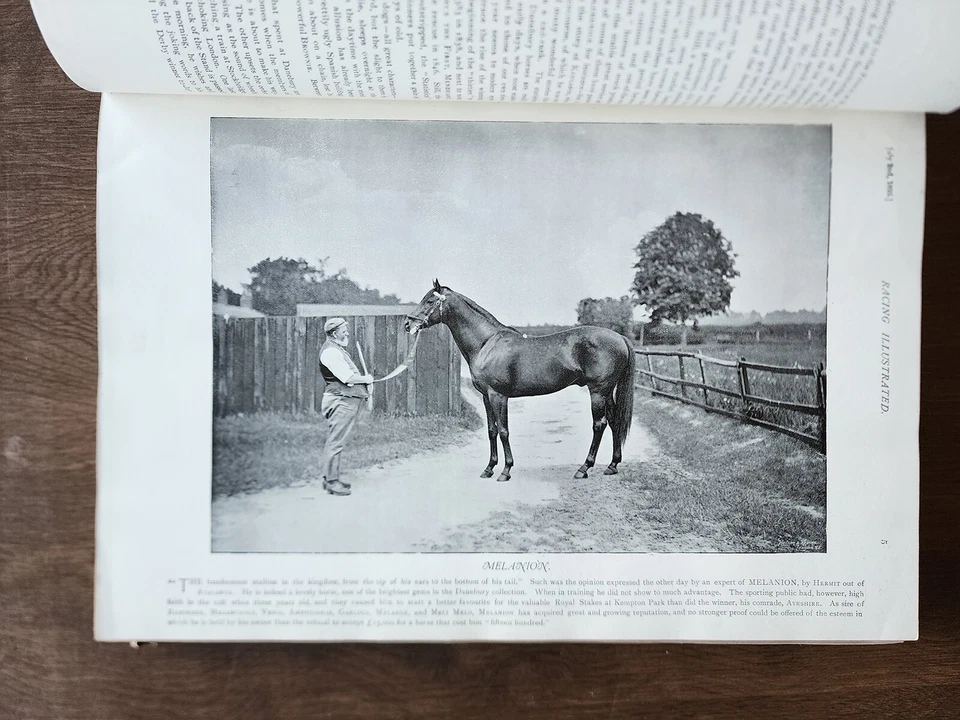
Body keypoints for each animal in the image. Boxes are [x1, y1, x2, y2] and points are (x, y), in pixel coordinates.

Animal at [404, 280, 635, 482]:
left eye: (430, 301)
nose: (408, 323)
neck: (486, 344)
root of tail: (620, 338)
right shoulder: (486, 397)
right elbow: (492, 431)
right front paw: (489, 468)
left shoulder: (498, 396)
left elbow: (504, 431)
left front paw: (505, 471)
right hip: (607, 392)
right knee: (614, 421)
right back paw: (612, 465)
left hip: (598, 391)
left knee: (599, 424)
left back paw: (584, 468)